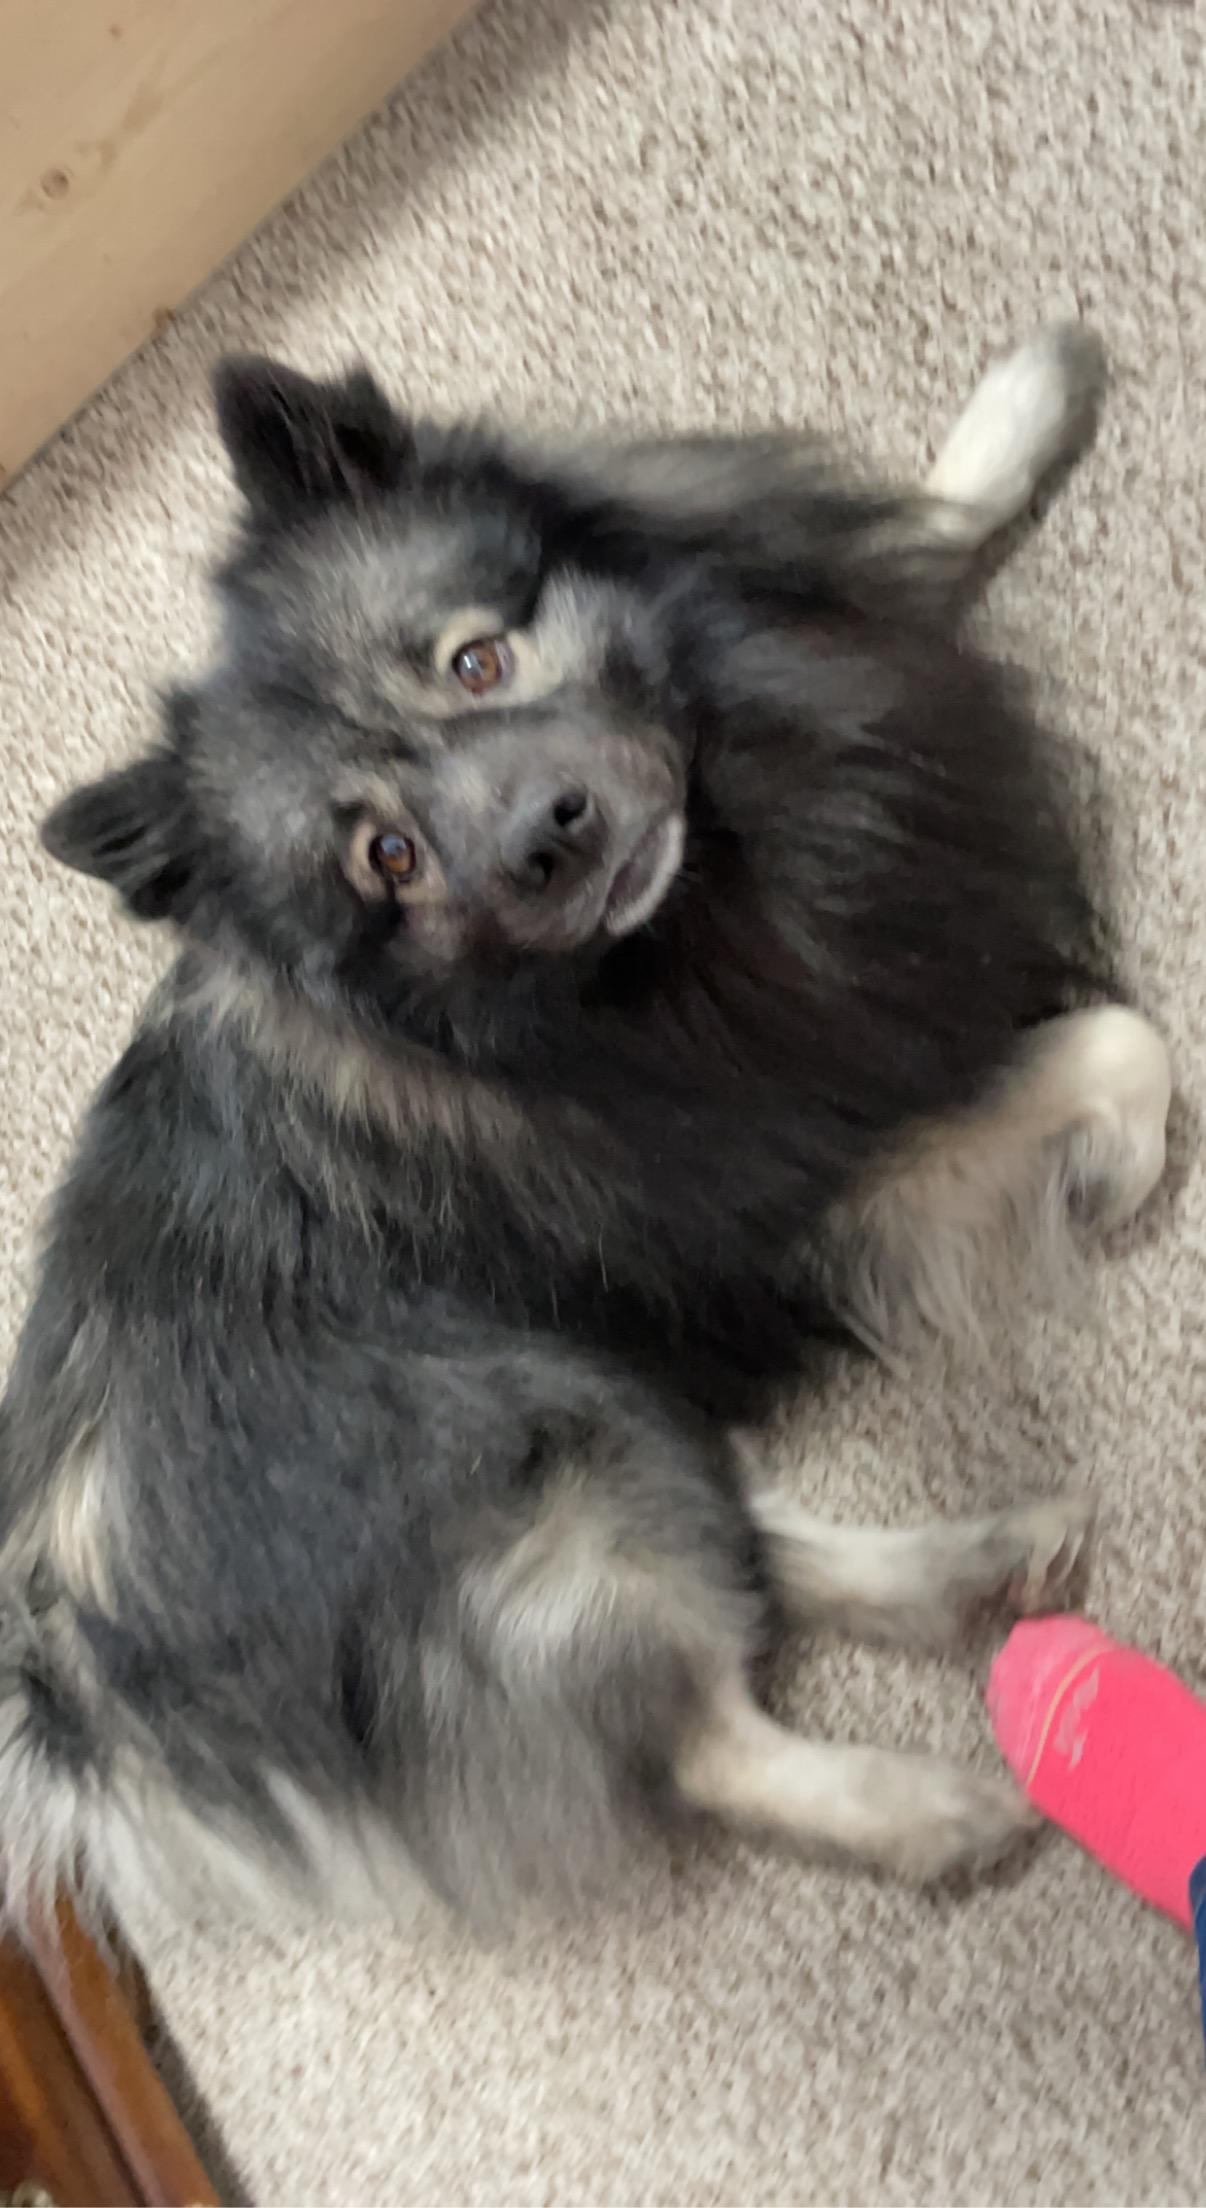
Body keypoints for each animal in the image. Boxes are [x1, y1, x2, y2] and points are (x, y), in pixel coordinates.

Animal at [0, 326, 1171, 1935]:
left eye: (477, 660)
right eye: (387, 857)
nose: (542, 840)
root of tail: (73, 1683)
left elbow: (923, 521)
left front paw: (1029, 401)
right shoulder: (828, 1172)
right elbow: (1120, 1045)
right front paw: (1122, 1170)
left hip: (592, 1422)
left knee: (745, 1540)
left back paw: (976, 1569)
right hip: (527, 1442)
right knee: (700, 1732)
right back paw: (934, 1804)